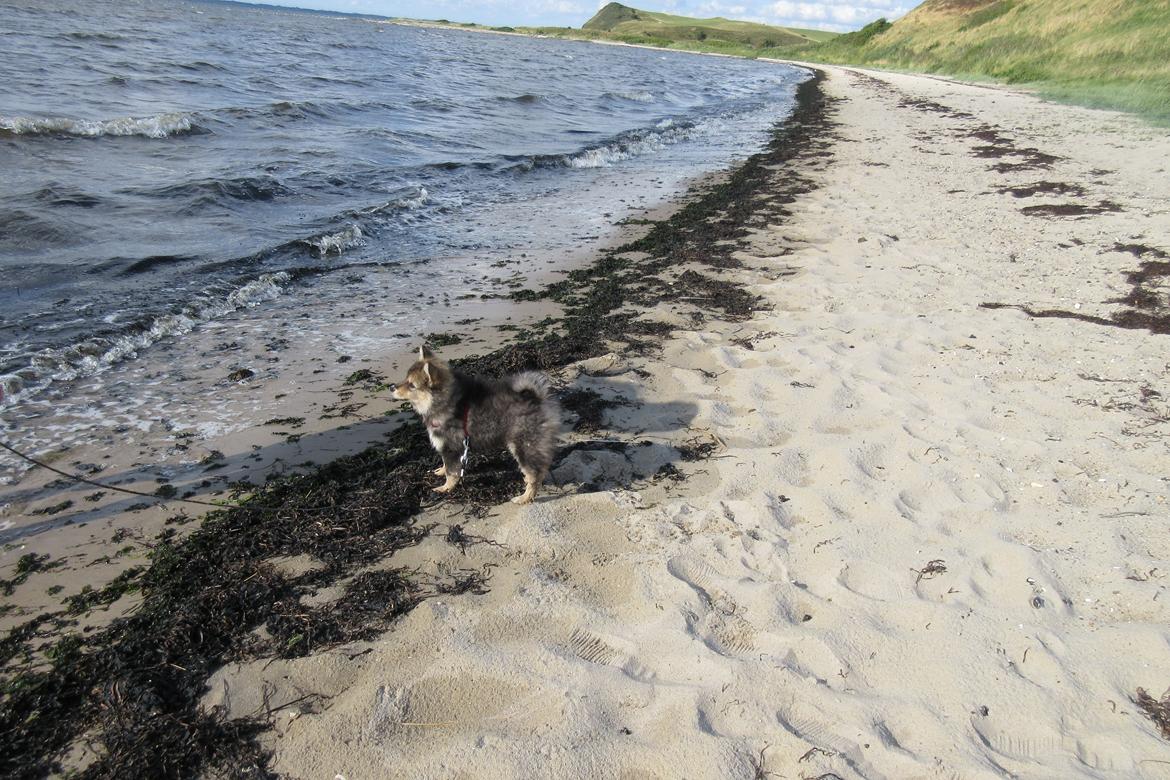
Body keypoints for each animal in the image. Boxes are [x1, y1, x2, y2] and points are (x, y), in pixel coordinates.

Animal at [390, 348, 559, 507]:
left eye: (412, 386)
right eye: (405, 378)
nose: (392, 387)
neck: (445, 401)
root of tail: (535, 398)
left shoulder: (450, 446)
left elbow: (451, 472)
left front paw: (445, 488)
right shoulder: (452, 448)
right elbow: (446, 465)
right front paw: (441, 471)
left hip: (523, 445)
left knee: (533, 475)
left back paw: (524, 497)